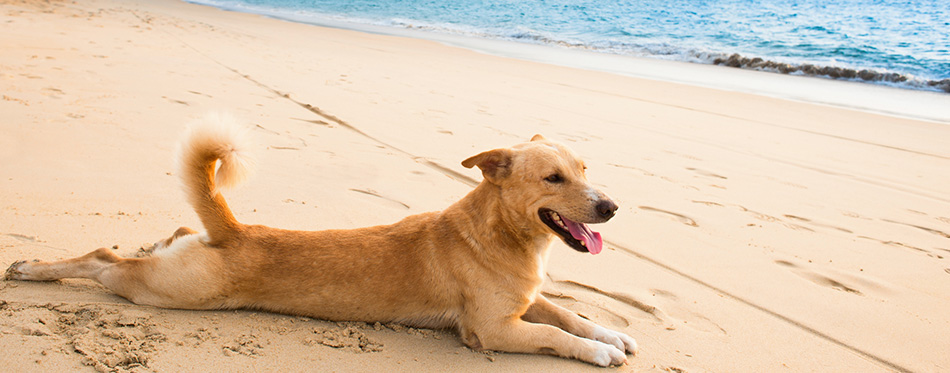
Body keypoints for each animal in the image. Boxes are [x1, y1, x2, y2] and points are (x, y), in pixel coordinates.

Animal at [5, 117, 640, 364]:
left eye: (584, 169)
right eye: (554, 179)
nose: (610, 207)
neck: (500, 234)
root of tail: (231, 229)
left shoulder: (528, 300)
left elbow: (572, 316)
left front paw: (612, 334)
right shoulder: (494, 330)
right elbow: (554, 336)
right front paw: (598, 352)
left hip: (173, 264)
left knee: (151, 242)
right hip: (165, 291)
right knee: (101, 259)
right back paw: (32, 269)